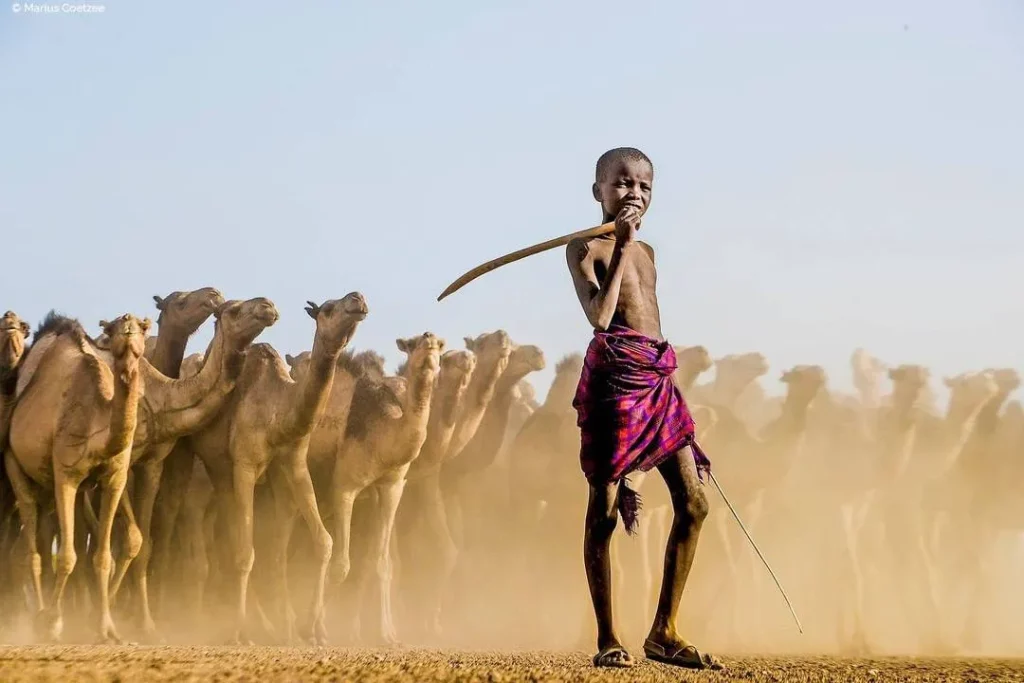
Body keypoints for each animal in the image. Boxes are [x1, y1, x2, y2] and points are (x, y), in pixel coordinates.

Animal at [5, 313, 150, 642]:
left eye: (143, 328)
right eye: (114, 329)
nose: (128, 324)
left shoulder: (114, 480)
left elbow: (103, 557)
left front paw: (107, 628)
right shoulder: (66, 475)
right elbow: (67, 556)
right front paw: (53, 623)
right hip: (15, 466)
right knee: (32, 550)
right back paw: (38, 618)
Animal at [189, 293, 368, 644]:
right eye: (328, 308)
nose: (357, 298)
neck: (278, 413)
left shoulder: (295, 462)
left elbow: (324, 542)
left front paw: (314, 630)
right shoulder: (244, 465)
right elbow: (245, 553)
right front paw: (239, 633)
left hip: (267, 486)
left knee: (274, 548)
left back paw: (281, 625)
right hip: (215, 472)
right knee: (231, 542)